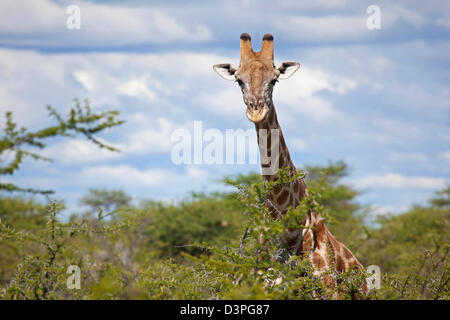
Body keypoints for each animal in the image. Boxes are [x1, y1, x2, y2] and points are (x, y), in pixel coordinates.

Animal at [213, 32, 368, 298]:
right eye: (239, 81)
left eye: (274, 80)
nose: (256, 110)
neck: (287, 231)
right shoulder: (265, 285)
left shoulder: (327, 286)